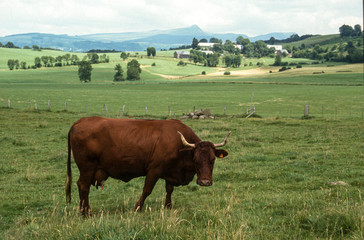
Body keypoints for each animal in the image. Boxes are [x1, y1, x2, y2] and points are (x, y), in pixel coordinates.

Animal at [65, 116, 229, 216]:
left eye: (212, 159)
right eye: (195, 159)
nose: (205, 182)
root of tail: (80, 122)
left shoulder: (170, 172)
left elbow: (169, 190)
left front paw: (168, 206)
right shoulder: (154, 169)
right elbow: (147, 190)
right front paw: (137, 207)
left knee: (81, 186)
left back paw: (83, 211)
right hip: (87, 167)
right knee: (83, 186)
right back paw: (86, 213)